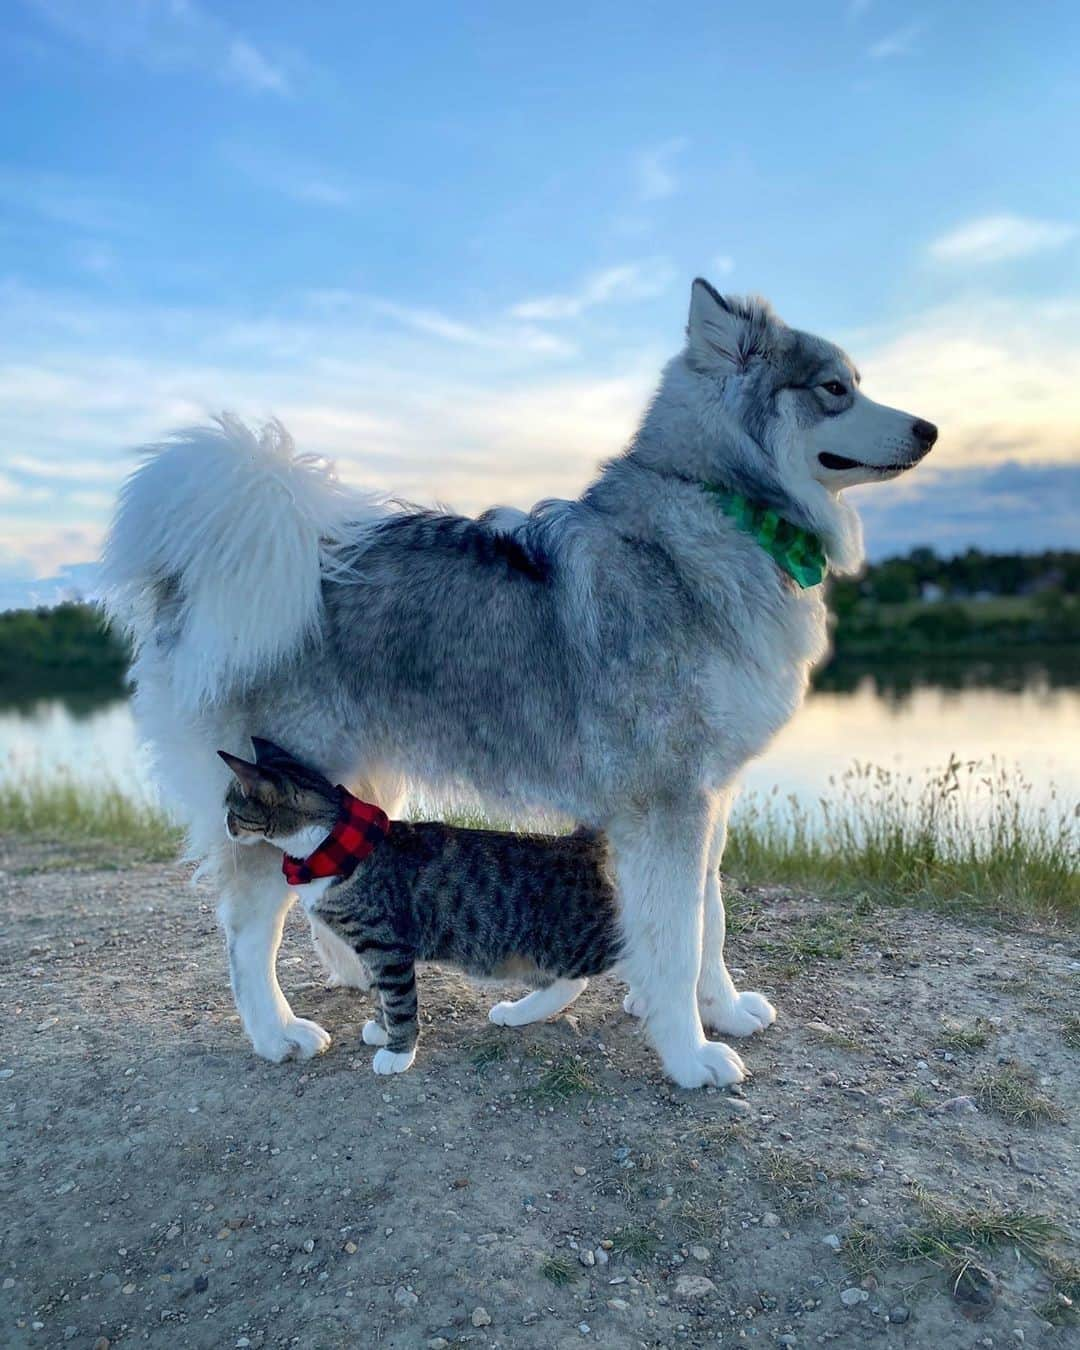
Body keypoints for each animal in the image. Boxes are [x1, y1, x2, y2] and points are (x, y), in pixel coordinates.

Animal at [218, 739, 623, 1074]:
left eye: (232, 809)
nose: (225, 826)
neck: (329, 843)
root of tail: (577, 844)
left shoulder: (387, 945)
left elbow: (398, 999)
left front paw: (397, 1051)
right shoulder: (366, 949)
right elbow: (380, 993)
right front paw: (381, 1029)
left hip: (577, 940)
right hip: (520, 951)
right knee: (570, 982)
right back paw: (518, 1012)